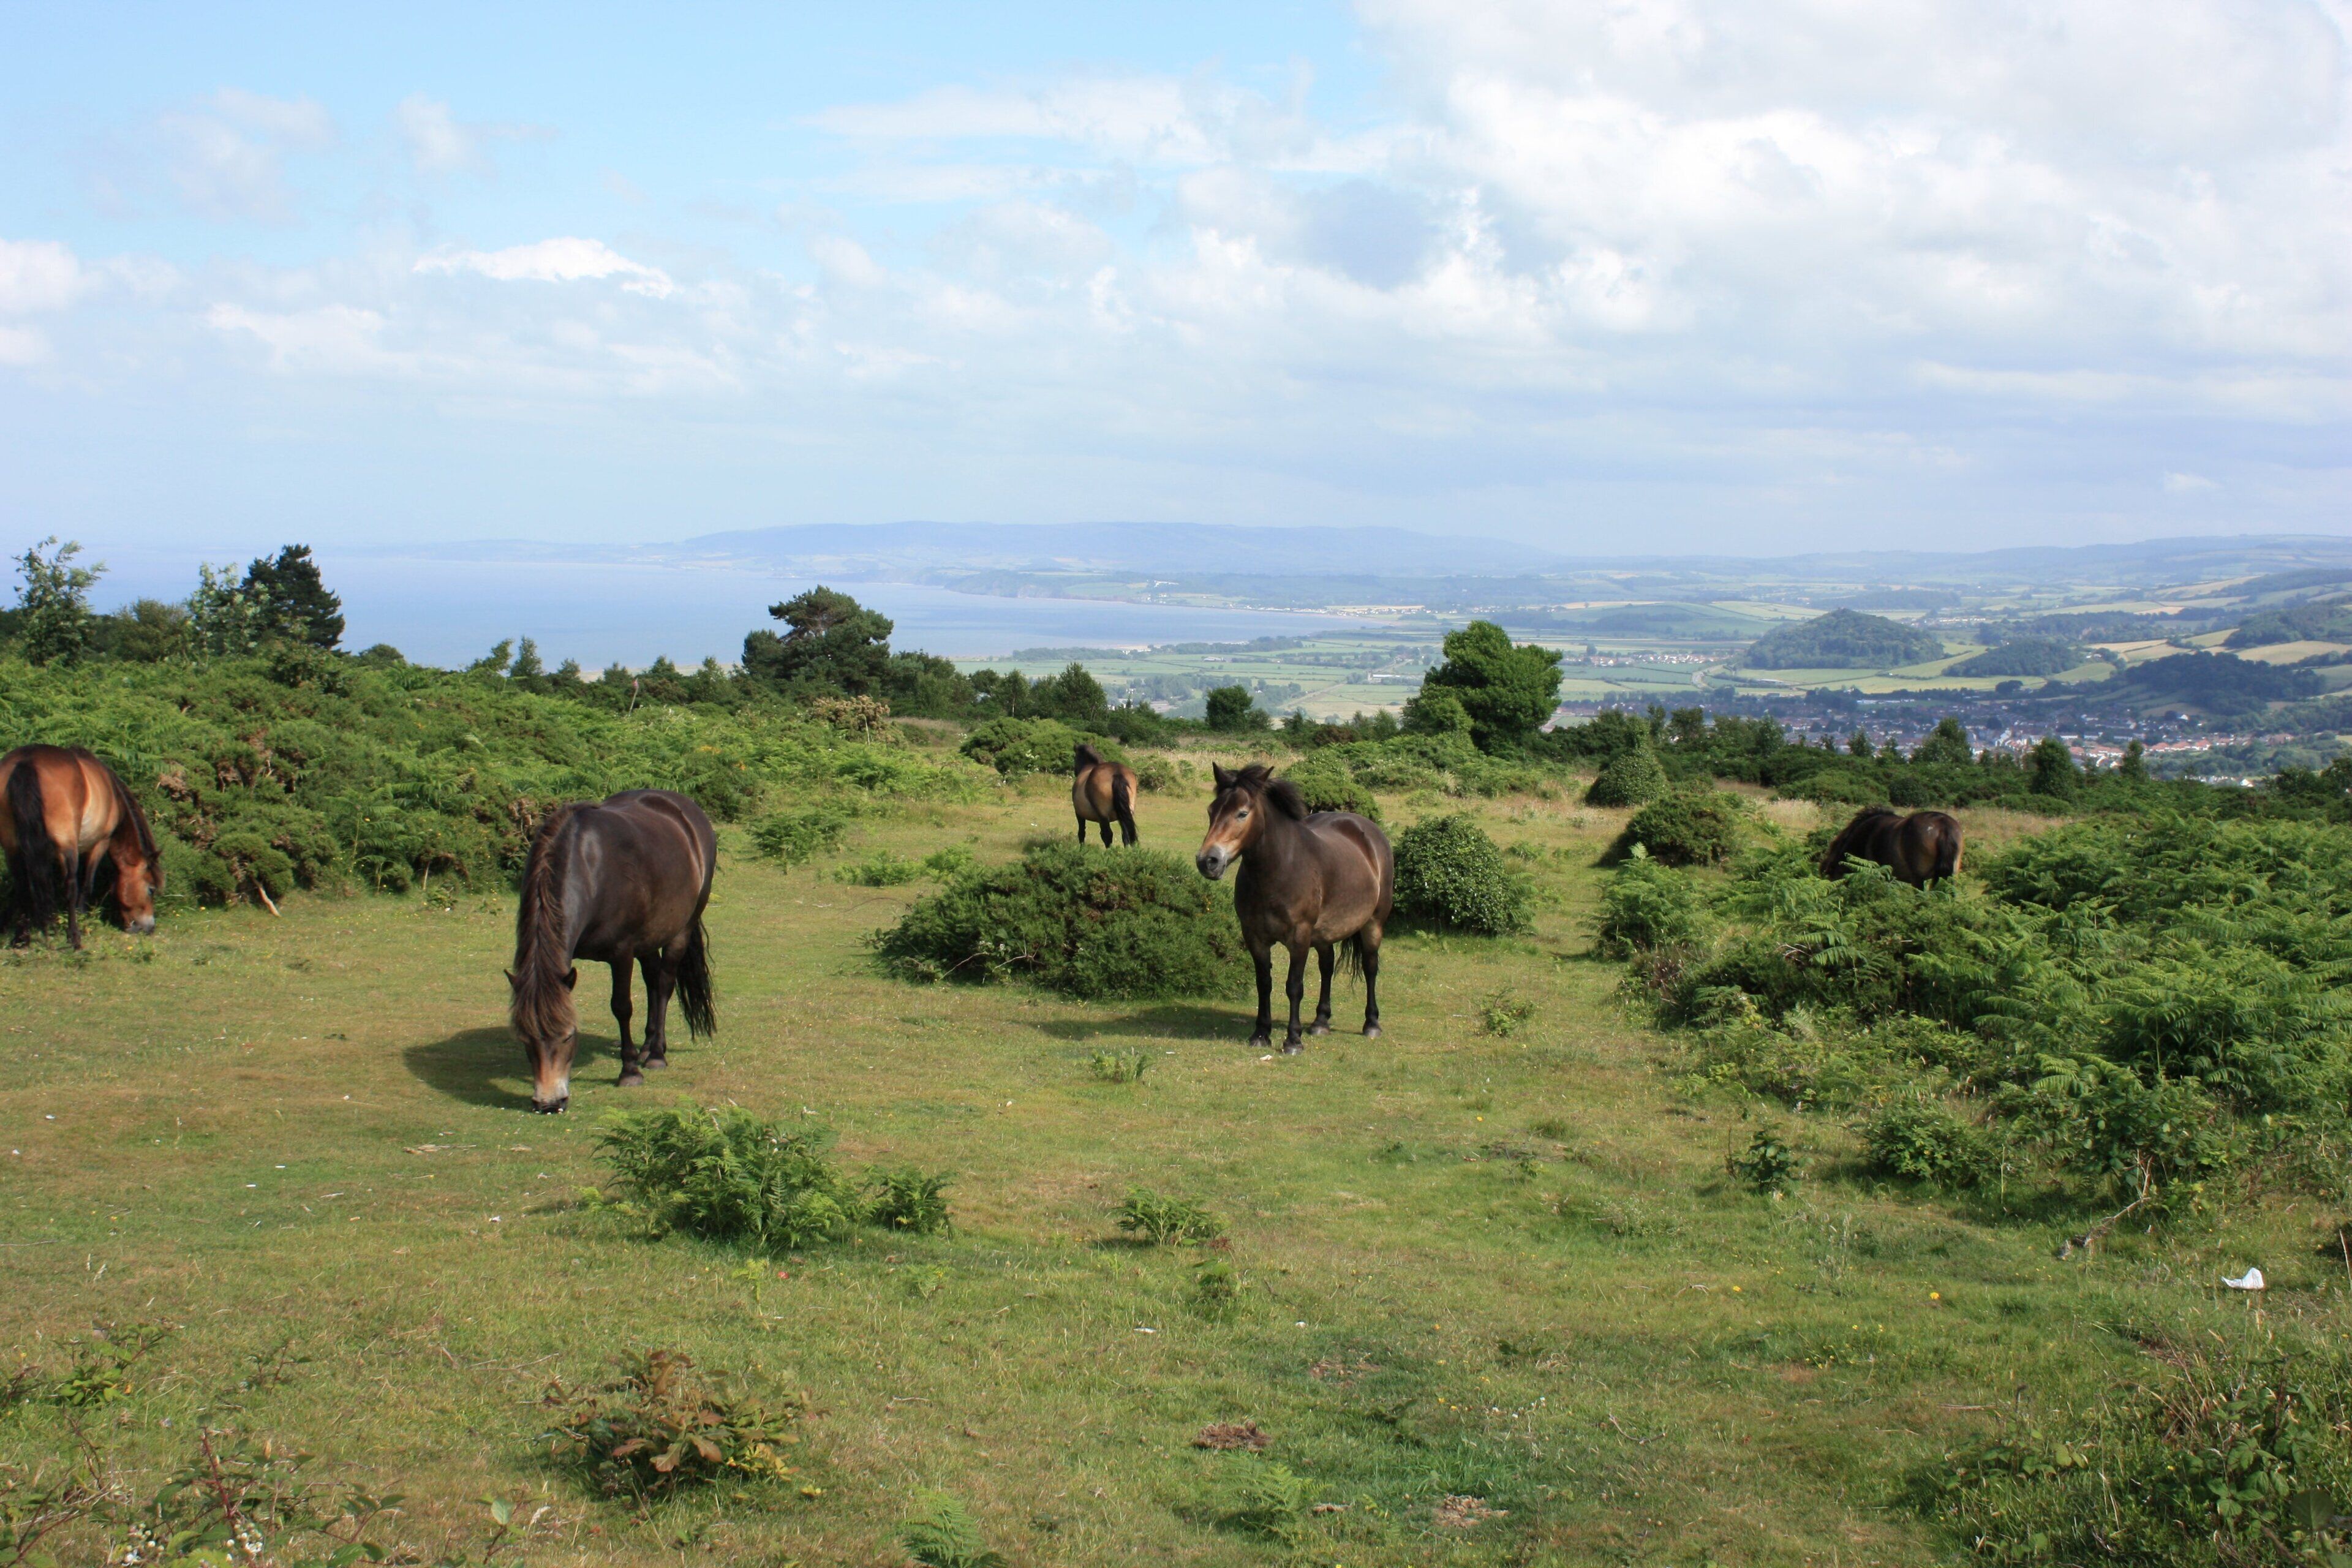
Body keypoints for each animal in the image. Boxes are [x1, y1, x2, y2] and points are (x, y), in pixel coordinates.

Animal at [1, 745, 163, 948]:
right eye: (151, 889)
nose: (150, 928)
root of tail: (27, 761)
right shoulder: (100, 843)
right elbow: (87, 884)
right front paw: (82, 916)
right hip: (67, 844)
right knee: (71, 885)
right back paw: (74, 938)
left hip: (12, 846)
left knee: (23, 886)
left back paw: (21, 939)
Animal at [507, 789, 716, 1113]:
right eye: (525, 1038)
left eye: (569, 1036)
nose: (550, 1103)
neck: (590, 869)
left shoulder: (622, 953)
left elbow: (622, 1007)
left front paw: (629, 1072)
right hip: (648, 938)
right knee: (653, 981)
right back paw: (648, 1047)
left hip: (680, 930)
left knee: (664, 985)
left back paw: (656, 1054)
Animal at [1072, 743, 1139, 847]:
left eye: (1075, 757)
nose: (1075, 772)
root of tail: (1117, 773)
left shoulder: (1079, 814)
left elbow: (1082, 833)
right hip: (1126, 813)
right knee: (1126, 835)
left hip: (1103, 815)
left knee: (1107, 835)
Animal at [1195, 763, 1393, 1054]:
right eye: (1211, 811)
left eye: (1242, 813)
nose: (1208, 861)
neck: (1280, 869)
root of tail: (1369, 831)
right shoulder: (1254, 937)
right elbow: (1264, 983)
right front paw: (1261, 1034)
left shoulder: (1299, 937)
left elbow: (1294, 986)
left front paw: (1293, 1040)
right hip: (1323, 935)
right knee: (1327, 967)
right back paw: (1320, 1022)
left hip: (1373, 924)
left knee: (1370, 967)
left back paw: (1372, 1025)